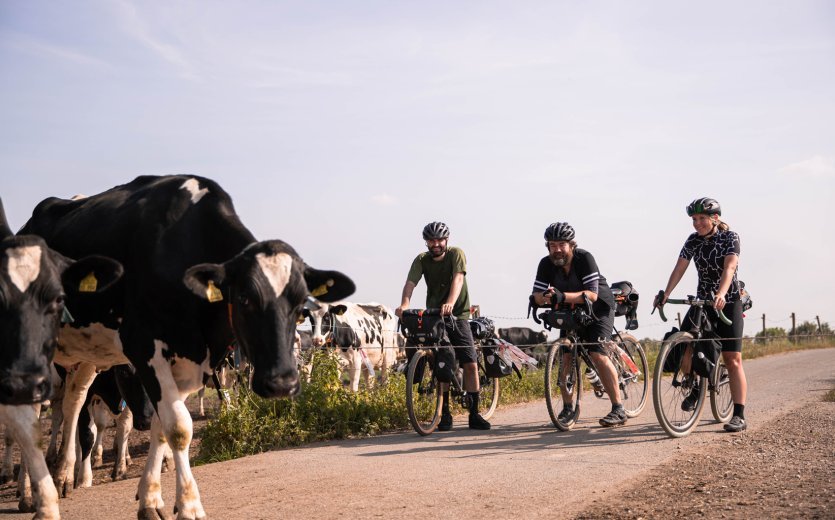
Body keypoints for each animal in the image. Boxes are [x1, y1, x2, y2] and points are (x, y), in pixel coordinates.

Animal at [19, 177, 352, 516]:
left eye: (299, 306)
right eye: (244, 298)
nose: (282, 383)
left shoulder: (188, 361)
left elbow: (161, 427)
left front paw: (150, 500)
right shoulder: (144, 348)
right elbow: (179, 427)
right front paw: (190, 505)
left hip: (87, 355)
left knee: (73, 400)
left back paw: (62, 474)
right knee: (29, 418)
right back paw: (33, 494)